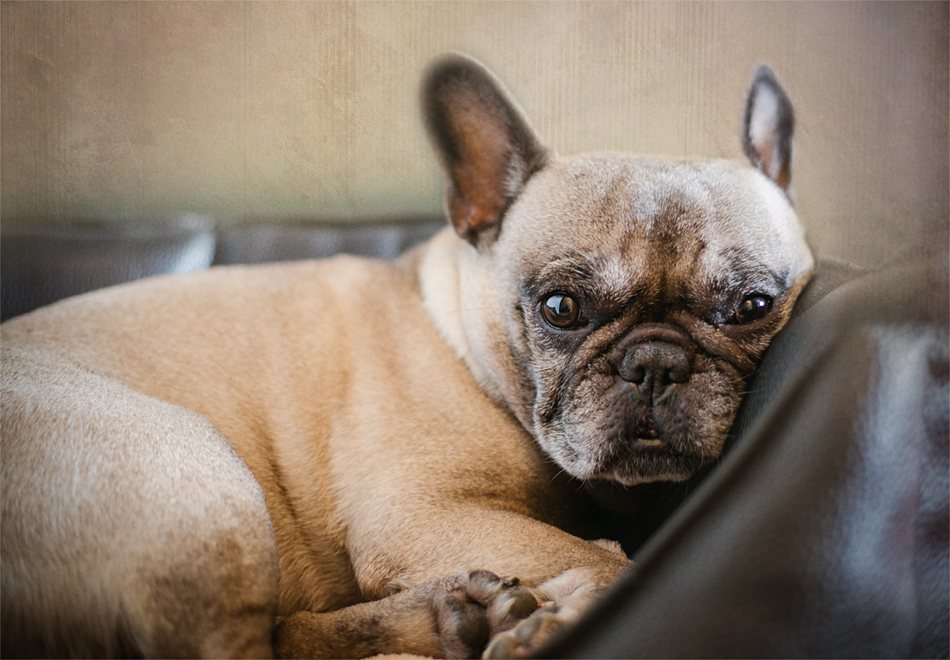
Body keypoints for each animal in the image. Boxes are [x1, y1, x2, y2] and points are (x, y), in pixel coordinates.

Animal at [1, 54, 820, 656]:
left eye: (752, 307)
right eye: (561, 308)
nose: (655, 362)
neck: (464, 340)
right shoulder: (421, 513)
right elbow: (604, 557)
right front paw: (557, 615)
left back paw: (462, 613)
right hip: (199, 474)